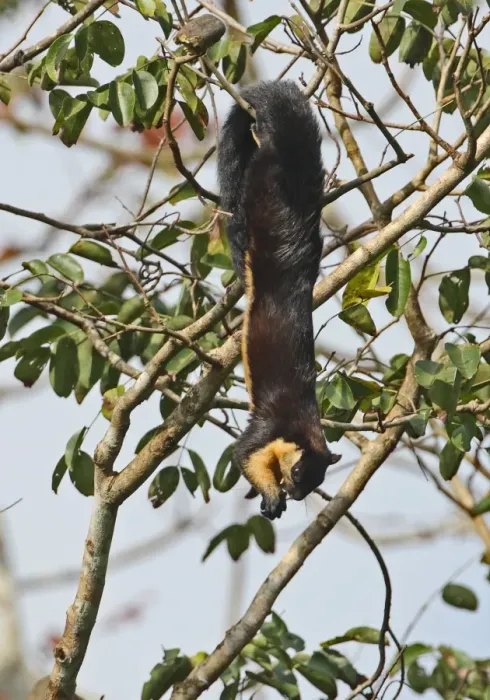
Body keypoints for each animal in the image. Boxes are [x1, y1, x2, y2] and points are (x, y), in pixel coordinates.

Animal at [218, 80, 341, 520]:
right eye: (301, 471)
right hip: (260, 185)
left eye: (317, 481)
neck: (301, 423)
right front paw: (271, 496)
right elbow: (243, 454)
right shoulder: (267, 427)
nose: (298, 493)